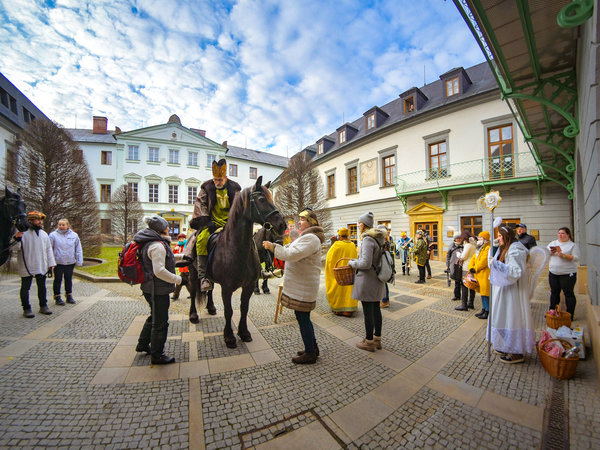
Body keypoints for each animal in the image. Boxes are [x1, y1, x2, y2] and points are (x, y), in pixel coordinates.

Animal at [190, 177, 288, 348]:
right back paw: (193, 315)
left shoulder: (248, 286)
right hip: (192, 272)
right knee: (193, 291)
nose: (282, 224)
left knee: (209, 290)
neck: (237, 249)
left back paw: (211, 307)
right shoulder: (227, 288)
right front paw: (229, 337)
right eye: (261, 199)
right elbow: (229, 311)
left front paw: (244, 332)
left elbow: (244, 308)